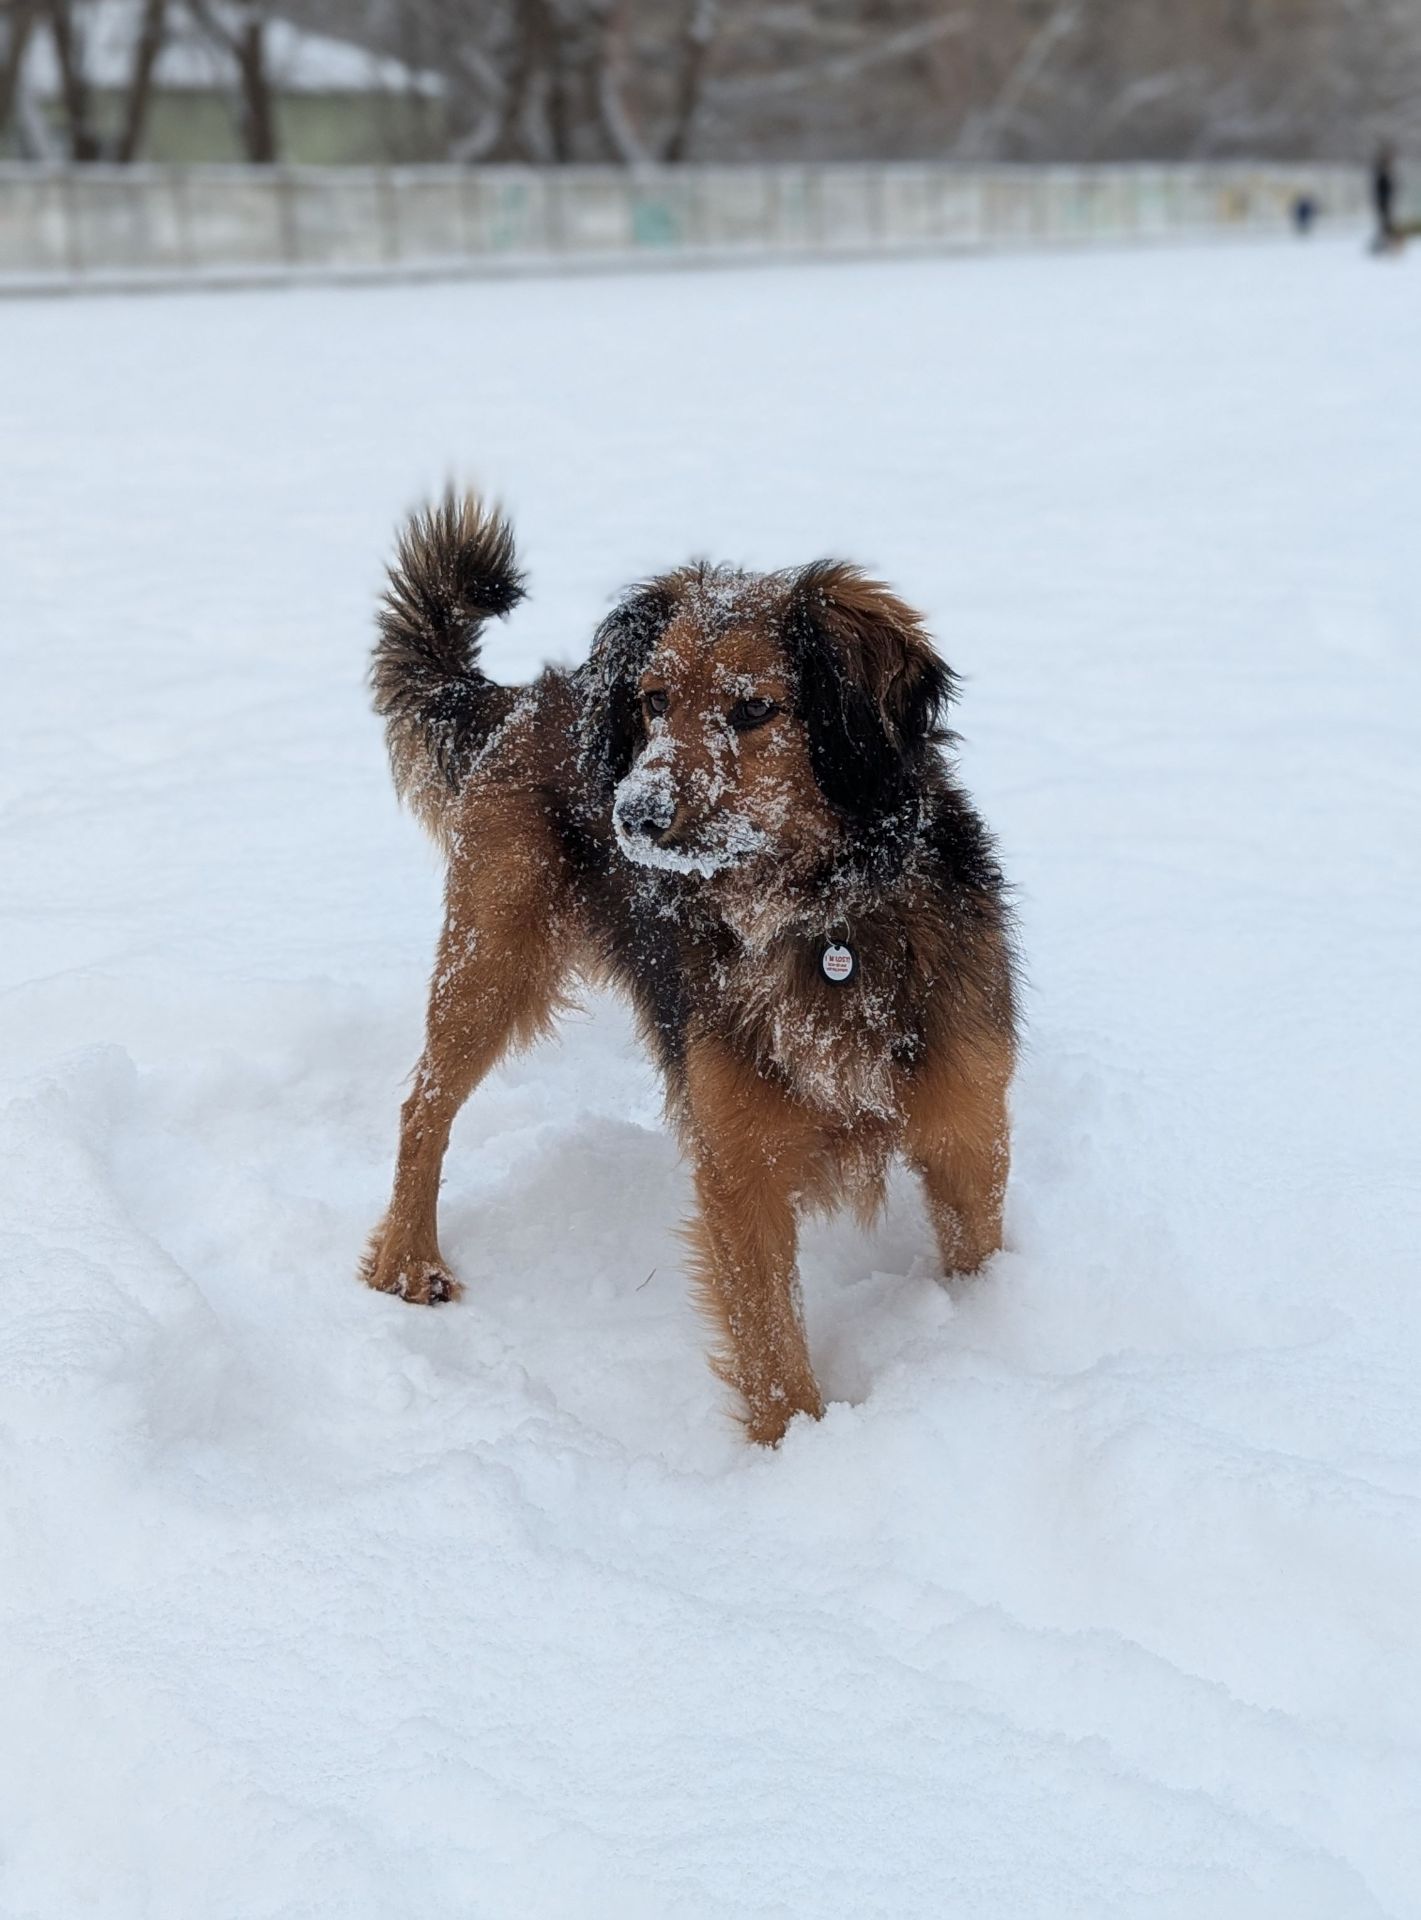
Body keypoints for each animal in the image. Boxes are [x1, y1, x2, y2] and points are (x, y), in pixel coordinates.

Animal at [361, 487, 1013, 1443]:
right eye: (656, 700)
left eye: (753, 709)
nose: (631, 814)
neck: (817, 924)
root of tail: (533, 696)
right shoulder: (739, 1166)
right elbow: (772, 1354)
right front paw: (796, 1456)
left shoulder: (967, 1129)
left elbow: (975, 1258)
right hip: (491, 958)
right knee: (423, 1105)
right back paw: (407, 1259)